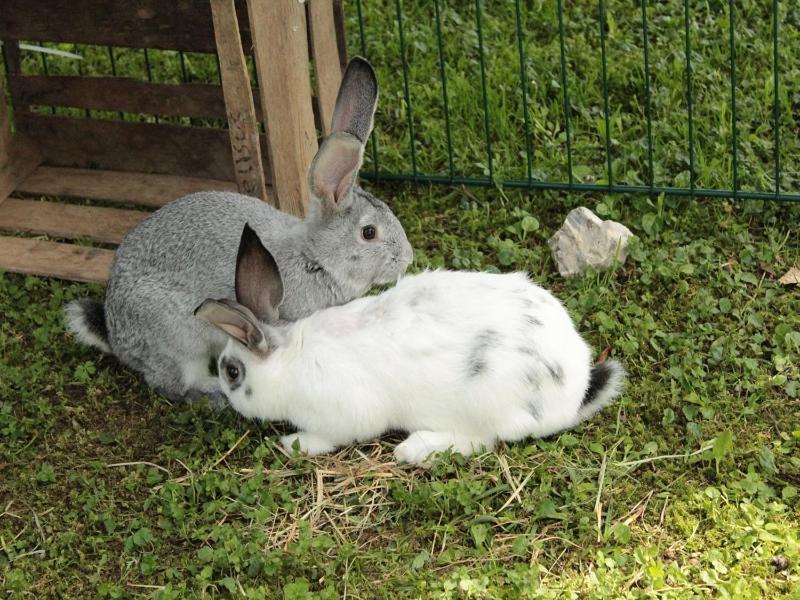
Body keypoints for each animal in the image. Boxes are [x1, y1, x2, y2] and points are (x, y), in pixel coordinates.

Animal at [66, 58, 412, 404]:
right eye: (369, 233)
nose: (407, 259)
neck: (315, 258)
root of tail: (116, 336)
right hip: (178, 340)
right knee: (172, 385)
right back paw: (214, 395)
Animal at [197, 225, 620, 464]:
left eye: (232, 372)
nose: (225, 400)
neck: (289, 361)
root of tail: (575, 387)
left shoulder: (343, 416)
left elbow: (329, 437)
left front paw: (292, 443)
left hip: (484, 405)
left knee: (484, 442)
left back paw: (413, 451)